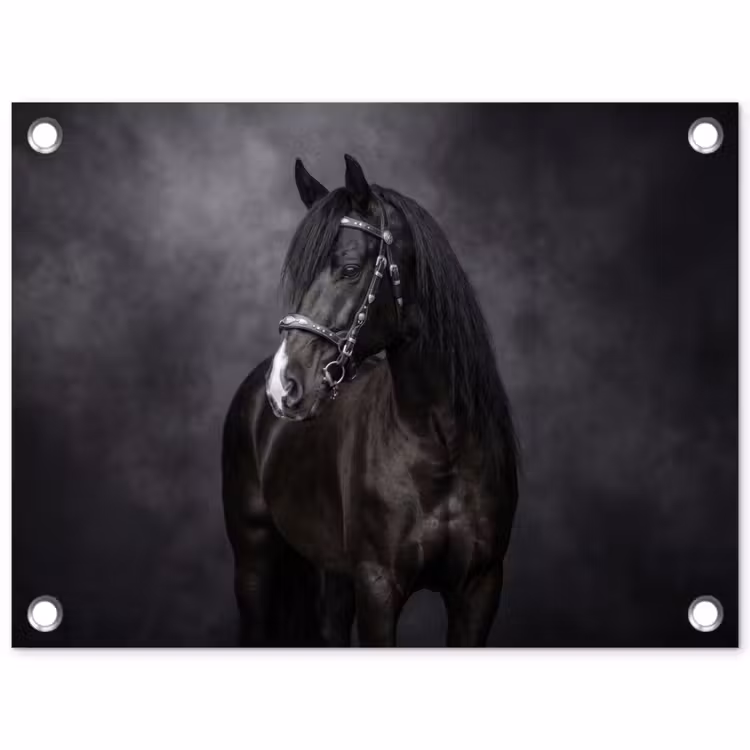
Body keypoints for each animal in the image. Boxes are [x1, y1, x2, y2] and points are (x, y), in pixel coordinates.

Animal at [222, 154, 518, 646]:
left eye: (348, 268)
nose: (284, 385)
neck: (442, 444)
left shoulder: (480, 587)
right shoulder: (378, 585)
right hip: (253, 561)